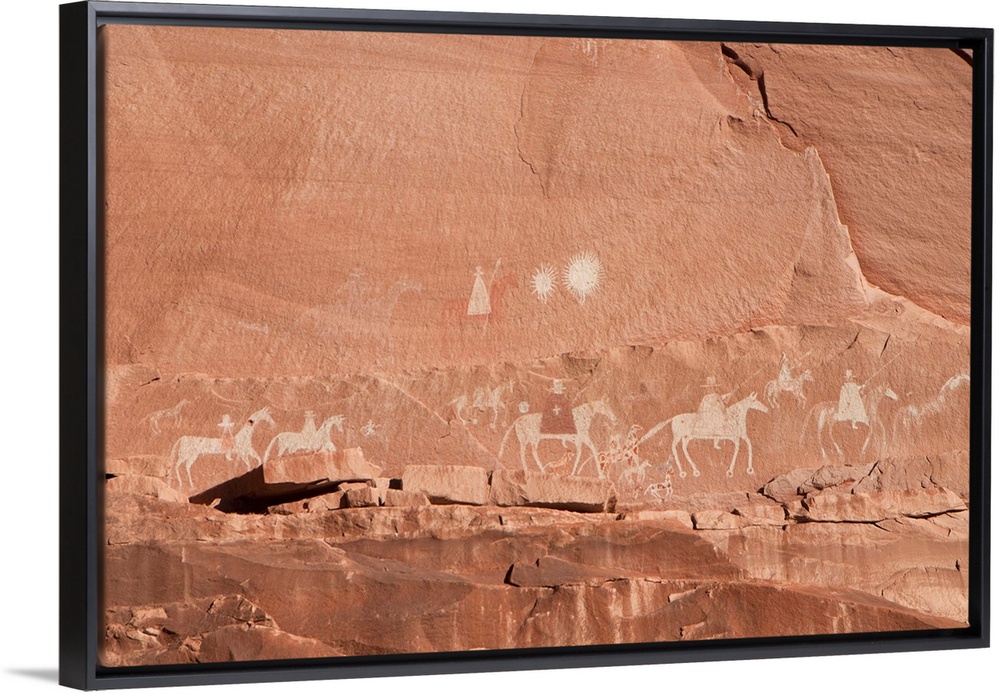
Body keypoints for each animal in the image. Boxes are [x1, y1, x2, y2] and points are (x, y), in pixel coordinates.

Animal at [638, 393, 769, 478]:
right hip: (678, 436)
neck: (734, 416)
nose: (766, 409)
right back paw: (683, 472)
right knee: (674, 447)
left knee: (683, 447)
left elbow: (749, 444)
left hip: (686, 437)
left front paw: (749, 469)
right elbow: (739, 449)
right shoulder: (734, 437)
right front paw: (730, 471)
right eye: (755, 401)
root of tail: (673, 418)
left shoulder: (740, 436)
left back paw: (695, 470)